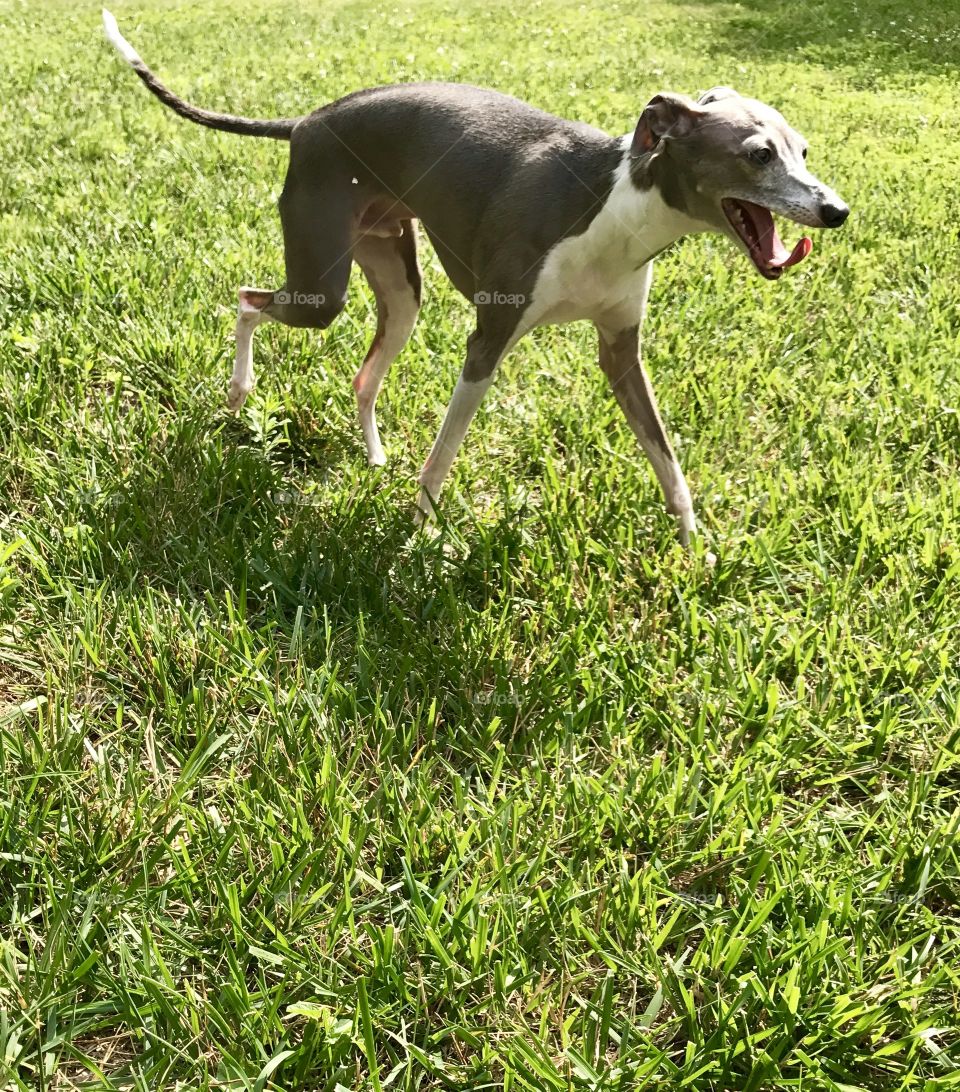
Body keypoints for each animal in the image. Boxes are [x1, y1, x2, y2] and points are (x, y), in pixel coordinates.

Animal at [103, 8, 847, 546]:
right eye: (758, 154)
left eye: (804, 150)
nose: (835, 211)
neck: (618, 204)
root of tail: (307, 121)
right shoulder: (488, 340)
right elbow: (443, 454)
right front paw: (414, 539)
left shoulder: (620, 351)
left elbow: (667, 460)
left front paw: (696, 549)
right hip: (321, 287)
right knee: (247, 300)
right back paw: (238, 393)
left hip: (397, 284)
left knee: (363, 374)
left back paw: (372, 455)